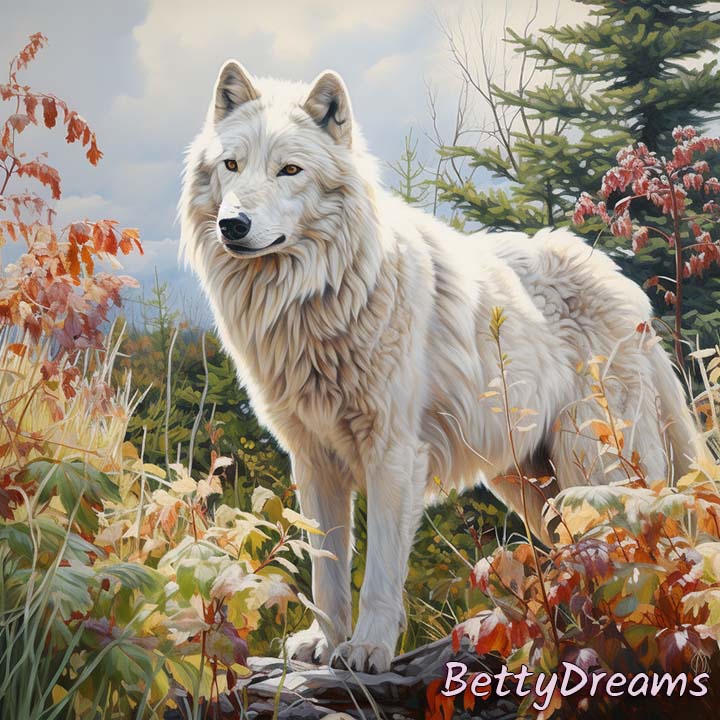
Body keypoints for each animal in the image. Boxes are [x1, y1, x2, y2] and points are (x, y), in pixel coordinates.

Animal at [179, 61, 698, 673]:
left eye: (289, 170)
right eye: (232, 165)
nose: (233, 225)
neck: (316, 297)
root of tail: (634, 298)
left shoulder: (394, 456)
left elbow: (380, 572)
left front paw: (368, 650)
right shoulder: (313, 461)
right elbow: (327, 567)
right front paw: (324, 645)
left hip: (594, 471)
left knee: (644, 556)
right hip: (530, 486)